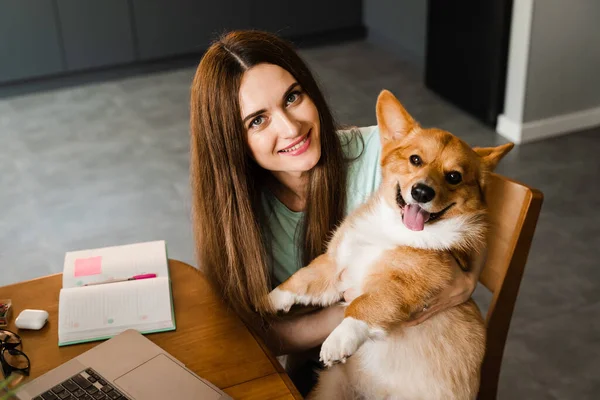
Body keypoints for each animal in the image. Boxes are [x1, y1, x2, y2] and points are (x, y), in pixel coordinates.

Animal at [268, 89, 516, 398]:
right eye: (415, 160)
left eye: (454, 177)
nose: (421, 192)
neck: (395, 231)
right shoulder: (335, 263)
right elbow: (302, 279)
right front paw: (268, 300)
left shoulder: (399, 286)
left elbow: (363, 305)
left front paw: (339, 339)